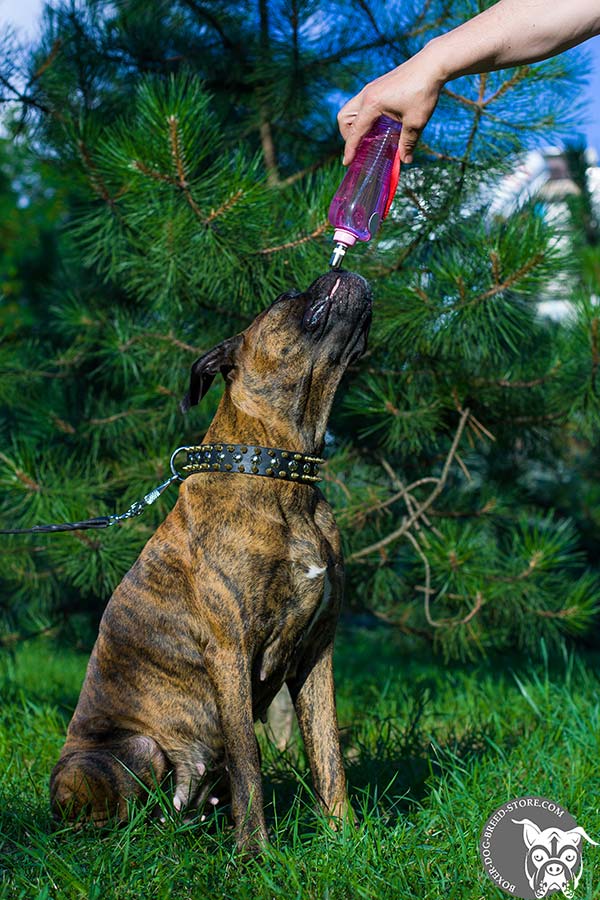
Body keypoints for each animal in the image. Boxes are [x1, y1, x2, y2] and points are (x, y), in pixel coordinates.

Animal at [50, 268, 370, 852]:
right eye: (286, 296)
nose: (339, 269)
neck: (280, 471)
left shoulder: (317, 652)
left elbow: (329, 754)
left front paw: (347, 838)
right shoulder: (230, 652)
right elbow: (250, 760)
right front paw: (256, 854)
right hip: (132, 753)